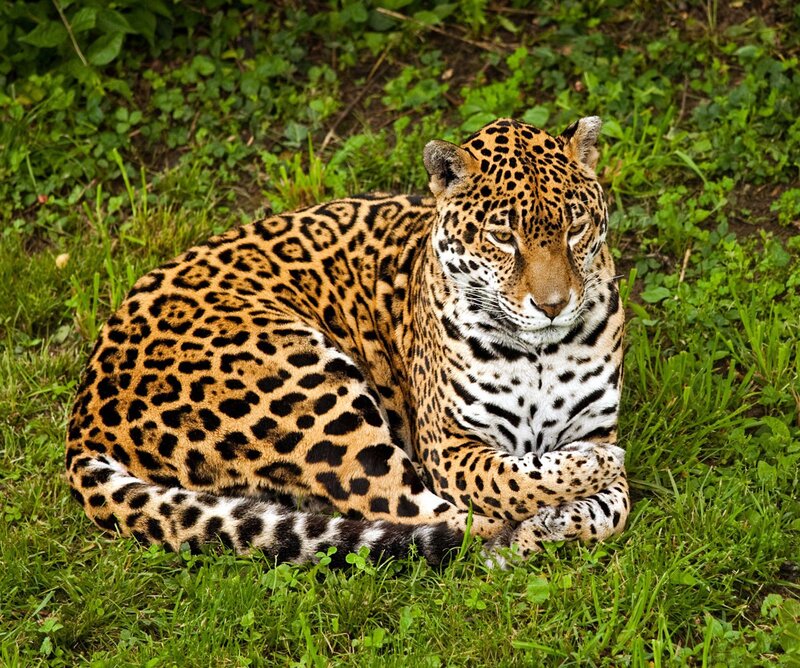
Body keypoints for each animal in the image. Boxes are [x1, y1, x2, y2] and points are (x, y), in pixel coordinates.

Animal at [65, 116, 629, 567]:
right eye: (502, 237)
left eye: (576, 227)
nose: (554, 304)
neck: (540, 354)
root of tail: (82, 421)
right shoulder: (448, 446)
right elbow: (514, 482)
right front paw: (584, 475)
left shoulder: (596, 426)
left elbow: (612, 508)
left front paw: (559, 519)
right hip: (313, 391)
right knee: (418, 512)